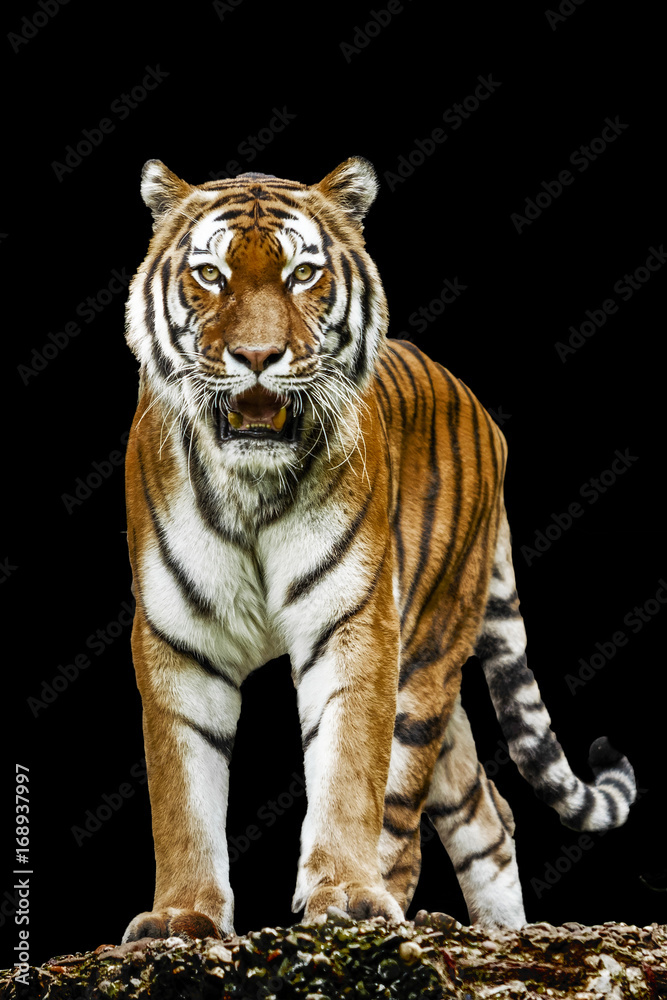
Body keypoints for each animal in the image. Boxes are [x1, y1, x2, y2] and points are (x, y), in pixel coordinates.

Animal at [121, 156, 636, 943]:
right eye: (210, 274)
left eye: (302, 273)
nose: (257, 356)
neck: (252, 486)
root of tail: (479, 408)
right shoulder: (177, 639)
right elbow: (181, 795)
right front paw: (182, 917)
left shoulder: (356, 624)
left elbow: (348, 775)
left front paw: (344, 896)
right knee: (486, 814)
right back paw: (501, 935)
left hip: (425, 656)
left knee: (411, 810)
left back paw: (394, 908)